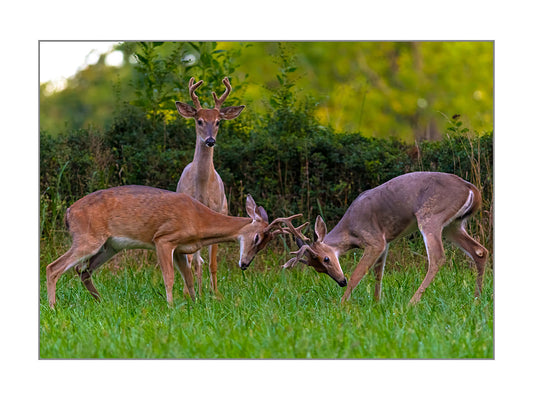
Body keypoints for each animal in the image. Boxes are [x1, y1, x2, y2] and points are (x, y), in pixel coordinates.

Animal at [44, 185, 304, 310]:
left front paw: (195, 304)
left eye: (264, 244)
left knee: (82, 271)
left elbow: (189, 280)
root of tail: (69, 212)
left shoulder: (180, 250)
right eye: (258, 238)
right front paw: (170, 307)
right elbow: (168, 278)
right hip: (88, 238)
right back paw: (53, 308)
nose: (245, 264)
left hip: (109, 246)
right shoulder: (164, 239)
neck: (199, 220)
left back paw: (101, 302)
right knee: (53, 267)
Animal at [174, 77, 244, 296]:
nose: (210, 140)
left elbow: (213, 263)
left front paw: (216, 294)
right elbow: (193, 260)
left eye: (218, 122)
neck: (202, 190)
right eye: (199, 121)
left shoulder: (217, 211)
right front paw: (192, 292)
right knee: (194, 259)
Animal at [280, 170, 488, 304]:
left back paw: (411, 303)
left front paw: (342, 305)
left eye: (326, 258)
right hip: (453, 225)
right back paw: (477, 300)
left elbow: (358, 274)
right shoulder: (385, 243)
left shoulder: (375, 241)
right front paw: (376, 304)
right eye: (318, 269)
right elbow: (378, 274)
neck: (351, 231)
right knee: (480, 251)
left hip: (431, 216)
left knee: (438, 257)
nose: (340, 281)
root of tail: (472, 189)